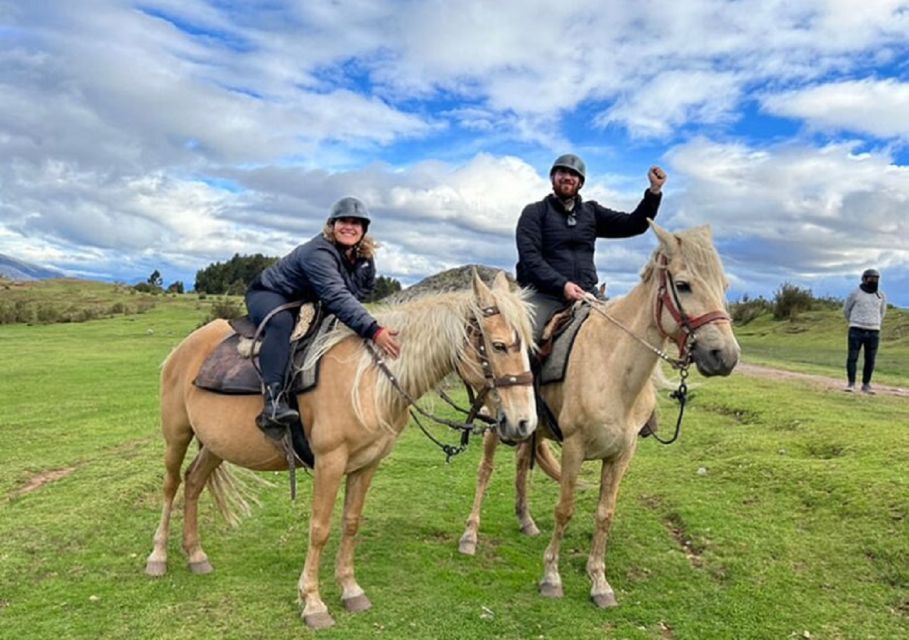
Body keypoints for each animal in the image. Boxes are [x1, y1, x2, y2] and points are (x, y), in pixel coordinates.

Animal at [145, 272, 536, 632]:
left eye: (530, 347)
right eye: (499, 346)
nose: (524, 423)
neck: (370, 381)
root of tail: (184, 348)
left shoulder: (367, 465)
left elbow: (350, 523)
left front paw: (350, 589)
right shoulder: (329, 463)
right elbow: (319, 528)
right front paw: (312, 602)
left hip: (215, 444)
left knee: (193, 482)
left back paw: (196, 554)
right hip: (177, 434)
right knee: (171, 486)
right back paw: (158, 557)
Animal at [458, 222, 740, 608]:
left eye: (724, 286)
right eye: (683, 285)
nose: (725, 356)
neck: (612, 367)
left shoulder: (622, 454)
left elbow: (605, 513)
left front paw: (599, 582)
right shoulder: (574, 448)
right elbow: (565, 508)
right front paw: (551, 577)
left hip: (527, 429)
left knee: (521, 464)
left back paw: (526, 520)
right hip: (496, 423)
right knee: (485, 471)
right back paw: (470, 535)